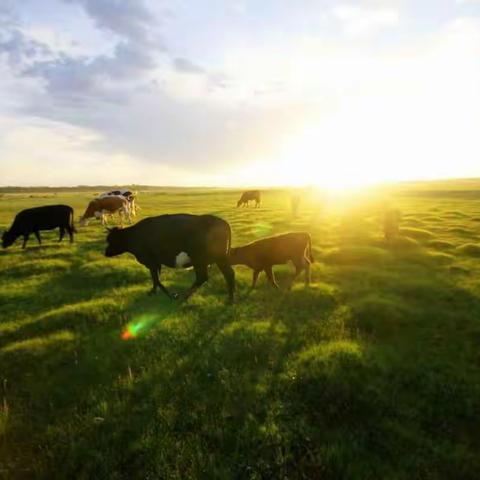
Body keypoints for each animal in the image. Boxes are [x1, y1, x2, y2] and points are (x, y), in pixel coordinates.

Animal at [104, 215, 235, 302]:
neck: (135, 236)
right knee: (228, 274)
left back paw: (185, 297)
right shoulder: (155, 263)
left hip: (201, 260)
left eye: (112, 240)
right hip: (218, 259)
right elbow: (156, 279)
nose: (106, 253)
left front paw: (168, 294)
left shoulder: (151, 262)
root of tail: (222, 221)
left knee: (203, 277)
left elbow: (156, 279)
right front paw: (156, 292)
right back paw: (230, 299)